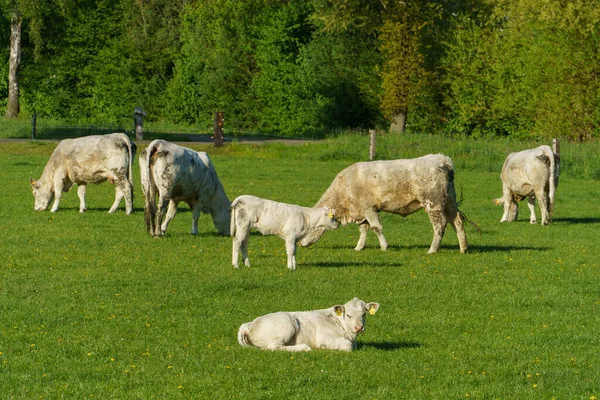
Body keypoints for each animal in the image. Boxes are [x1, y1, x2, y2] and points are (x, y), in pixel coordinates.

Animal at [236, 296, 380, 350]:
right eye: (348, 315)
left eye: (364, 314)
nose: (359, 327)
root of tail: (250, 324)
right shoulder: (326, 338)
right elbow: (347, 346)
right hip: (286, 326)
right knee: (274, 347)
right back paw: (303, 347)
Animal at [312, 155, 472, 255]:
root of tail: (442, 159)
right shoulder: (360, 211)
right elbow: (363, 230)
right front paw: (359, 247)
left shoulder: (368, 208)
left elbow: (376, 227)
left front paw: (384, 247)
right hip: (450, 202)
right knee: (457, 222)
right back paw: (463, 249)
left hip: (434, 203)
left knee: (440, 225)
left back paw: (432, 250)